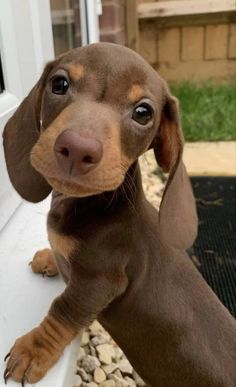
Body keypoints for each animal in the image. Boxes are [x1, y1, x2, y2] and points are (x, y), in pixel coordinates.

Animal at [2, 44, 236, 386]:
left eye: (143, 112)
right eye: (59, 83)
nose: (77, 148)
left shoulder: (99, 283)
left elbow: (63, 310)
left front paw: (33, 350)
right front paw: (51, 256)